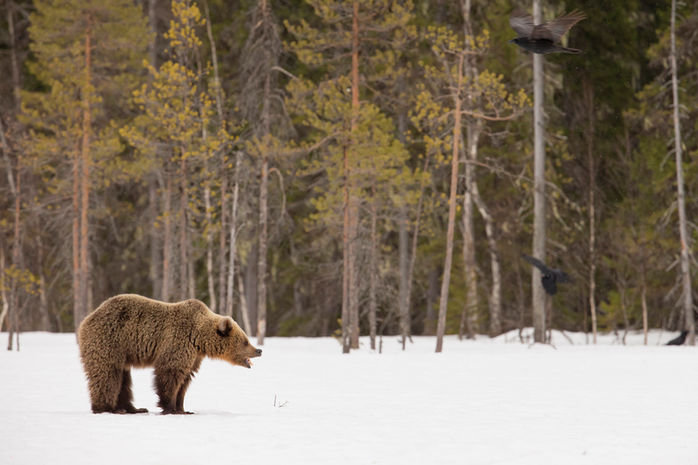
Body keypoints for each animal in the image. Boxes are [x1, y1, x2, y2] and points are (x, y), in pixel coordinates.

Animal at [77, 294, 262, 414]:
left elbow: (185, 379)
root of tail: (87, 319)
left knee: (123, 379)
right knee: (107, 374)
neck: (199, 339)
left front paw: (183, 408)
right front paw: (170, 407)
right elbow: (170, 374)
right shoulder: (178, 342)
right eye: (245, 341)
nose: (259, 350)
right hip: (109, 340)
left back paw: (133, 408)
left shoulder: (194, 356)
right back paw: (107, 408)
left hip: (122, 352)